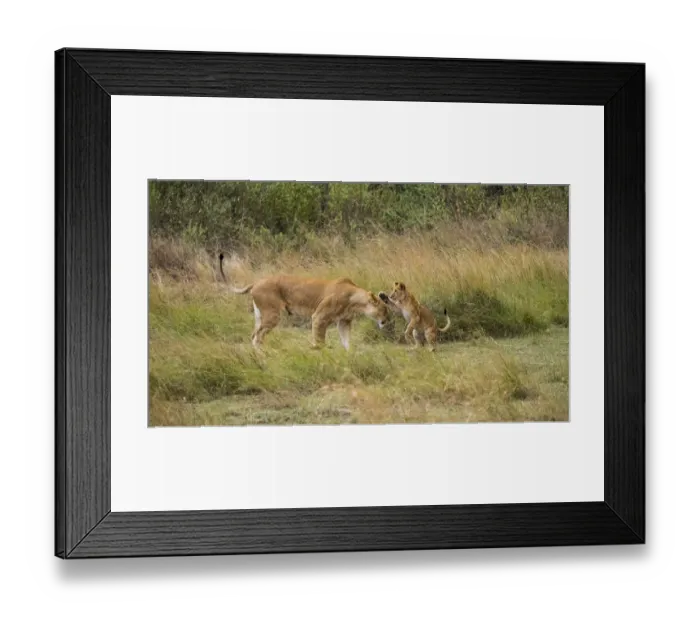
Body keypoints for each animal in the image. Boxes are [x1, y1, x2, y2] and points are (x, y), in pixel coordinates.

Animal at [219, 254, 390, 350]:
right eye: (384, 310)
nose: (387, 321)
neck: (354, 302)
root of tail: (256, 282)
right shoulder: (319, 317)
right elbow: (319, 341)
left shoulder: (343, 322)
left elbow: (347, 342)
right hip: (272, 314)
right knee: (257, 336)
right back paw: (262, 355)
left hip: (260, 315)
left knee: (254, 334)